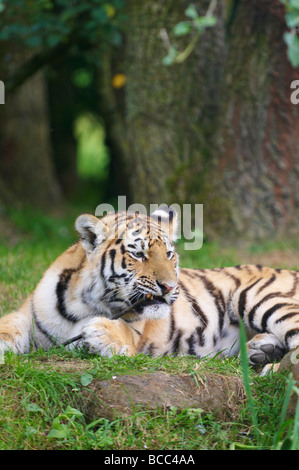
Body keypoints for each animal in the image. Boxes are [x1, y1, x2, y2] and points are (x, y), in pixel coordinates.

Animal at [0, 205, 299, 370]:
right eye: (139, 254)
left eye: (169, 254)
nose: (169, 287)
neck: (83, 304)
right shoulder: (26, 313)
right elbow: (9, 324)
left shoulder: (138, 334)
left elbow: (120, 331)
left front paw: (100, 332)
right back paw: (262, 350)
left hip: (262, 297)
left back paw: (270, 368)